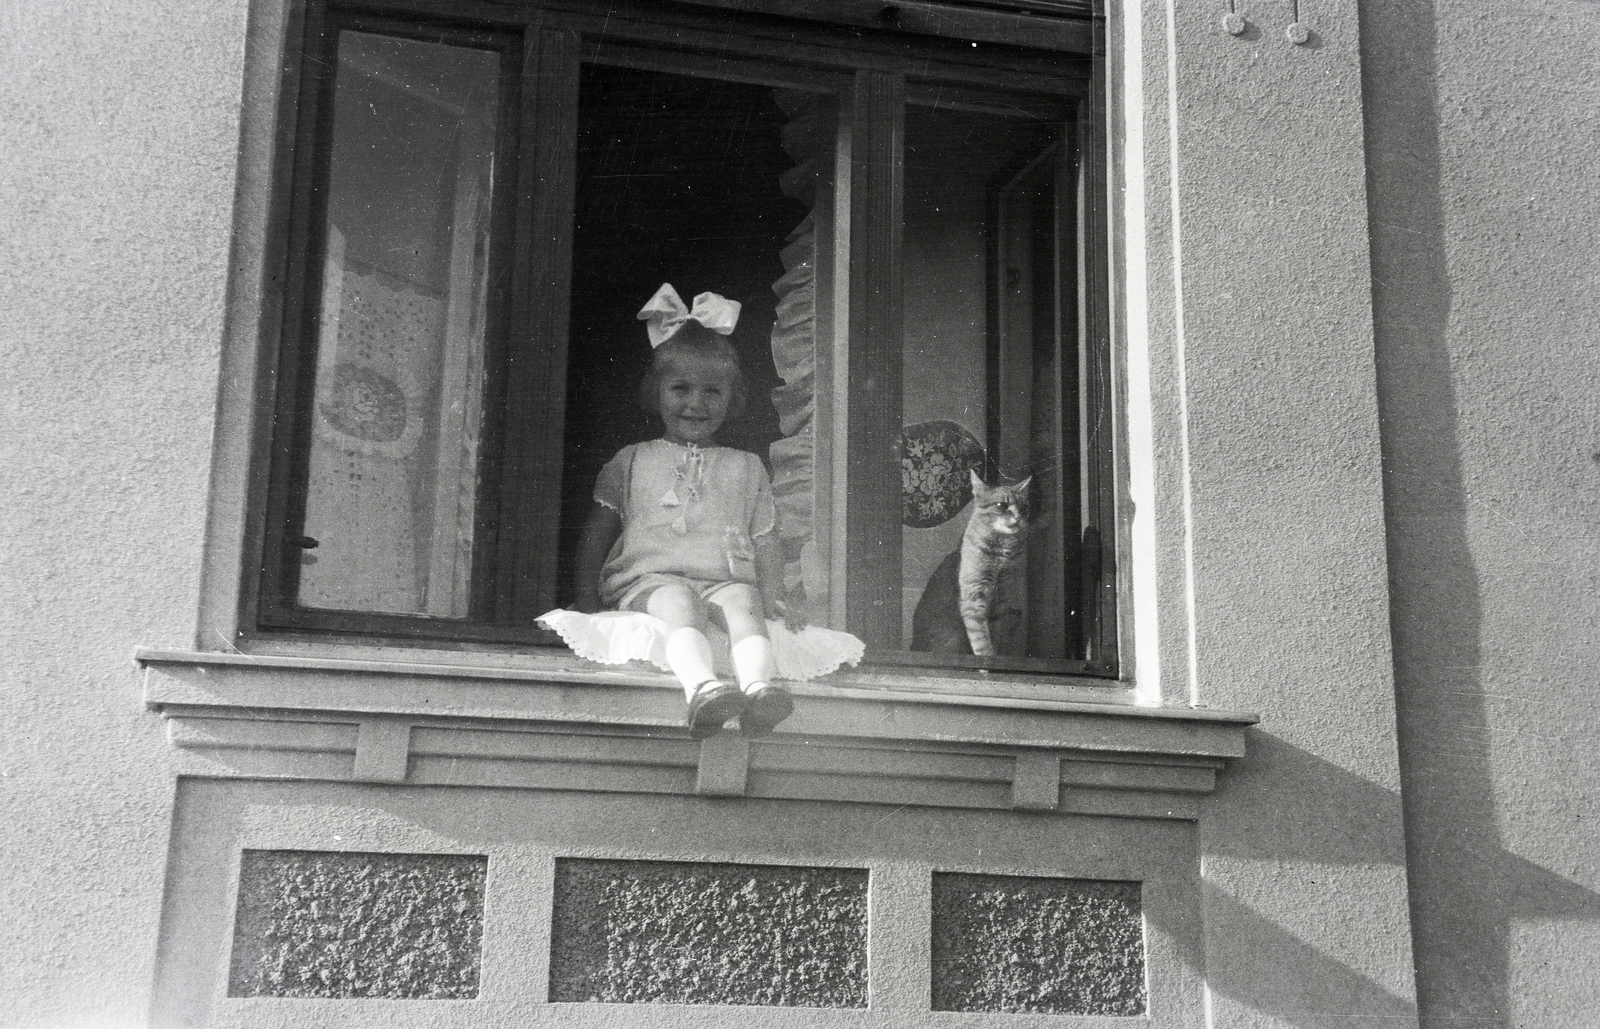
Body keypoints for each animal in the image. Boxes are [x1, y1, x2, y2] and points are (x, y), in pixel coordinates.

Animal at [908, 470, 1030, 656]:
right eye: (1002, 505)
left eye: (1024, 508)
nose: (1018, 517)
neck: (1000, 557)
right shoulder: (974, 596)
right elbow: (981, 639)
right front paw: (987, 657)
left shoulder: (1000, 604)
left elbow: (995, 636)